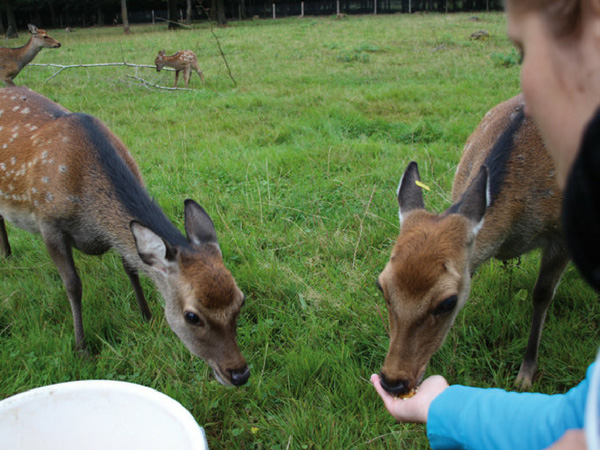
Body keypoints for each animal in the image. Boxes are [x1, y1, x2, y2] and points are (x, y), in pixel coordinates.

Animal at [0, 87, 250, 386]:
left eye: (240, 300)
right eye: (192, 316)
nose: (239, 373)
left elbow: (130, 268)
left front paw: (146, 315)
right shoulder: (48, 223)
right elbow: (73, 285)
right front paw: (81, 348)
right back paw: (6, 254)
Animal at [376, 93, 568, 396]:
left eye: (447, 302)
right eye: (381, 286)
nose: (393, 381)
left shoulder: (561, 237)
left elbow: (541, 295)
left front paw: (525, 375)